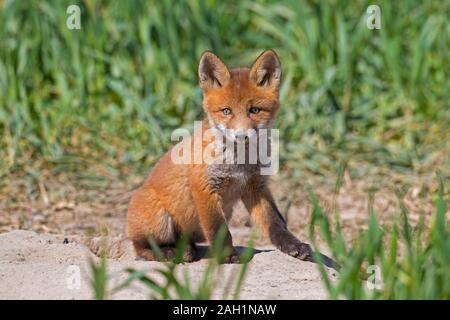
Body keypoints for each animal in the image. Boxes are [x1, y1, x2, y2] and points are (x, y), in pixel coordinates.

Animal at [125, 50, 312, 264]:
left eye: (254, 110)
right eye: (226, 111)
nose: (242, 135)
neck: (239, 163)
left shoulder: (255, 186)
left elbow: (275, 223)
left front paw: (293, 245)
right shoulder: (205, 187)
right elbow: (218, 230)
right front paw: (228, 255)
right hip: (159, 220)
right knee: (140, 247)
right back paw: (168, 252)